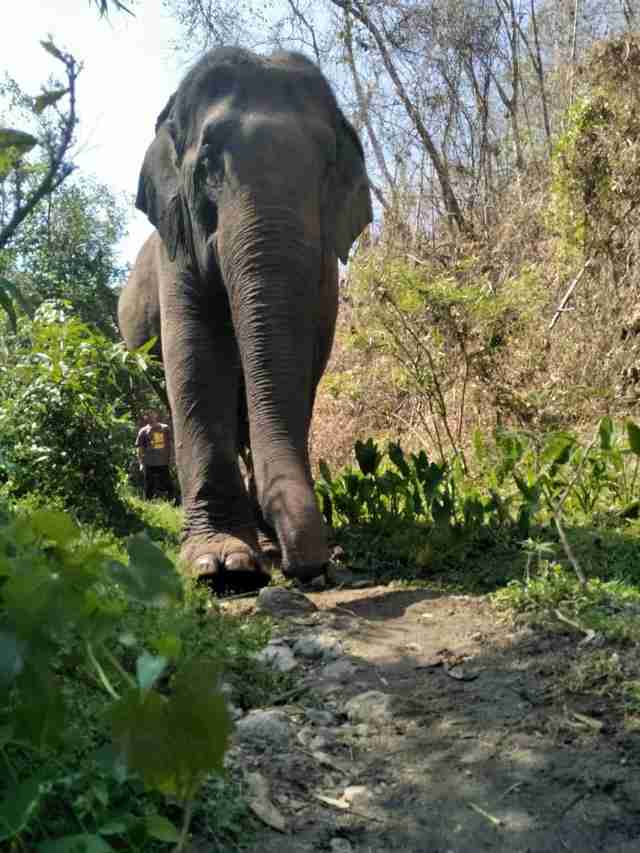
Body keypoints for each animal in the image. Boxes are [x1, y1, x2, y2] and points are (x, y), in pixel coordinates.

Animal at [118, 47, 372, 592]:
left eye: (327, 167)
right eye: (208, 165)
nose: (314, 567)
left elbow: (305, 361)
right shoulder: (177, 251)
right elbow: (197, 356)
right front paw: (222, 565)